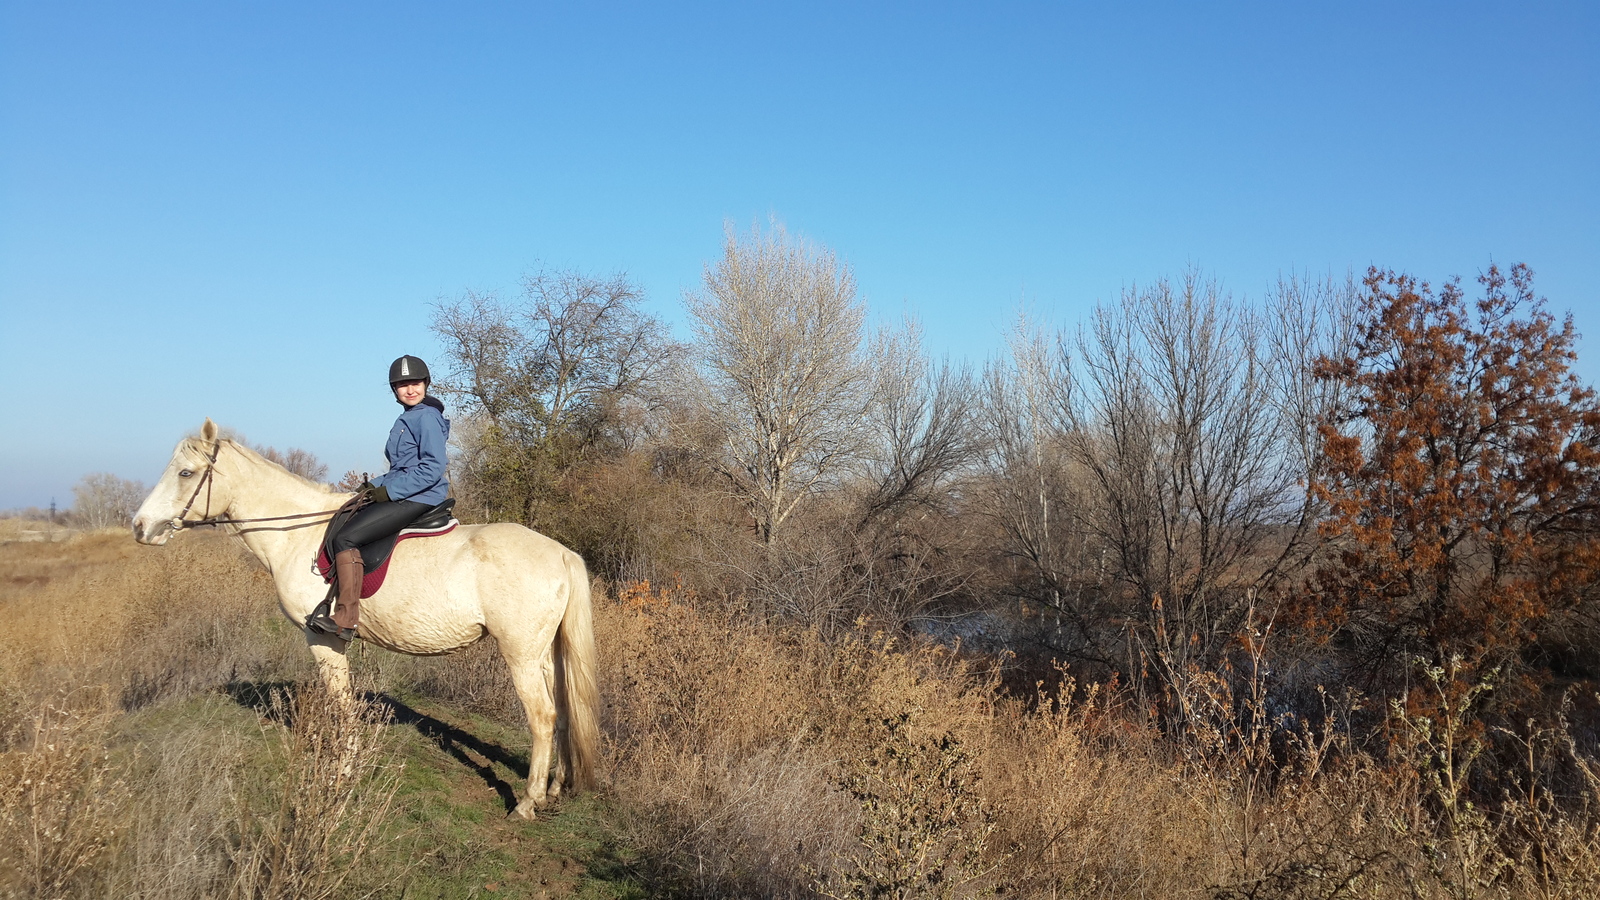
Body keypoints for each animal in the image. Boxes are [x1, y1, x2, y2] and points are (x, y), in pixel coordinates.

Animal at [132, 416, 601, 816]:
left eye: (185, 473)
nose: (140, 527)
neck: (297, 535)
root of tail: (560, 552)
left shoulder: (323, 637)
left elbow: (341, 704)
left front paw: (342, 773)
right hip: (545, 654)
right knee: (562, 711)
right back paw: (554, 789)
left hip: (520, 653)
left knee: (542, 718)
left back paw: (527, 802)